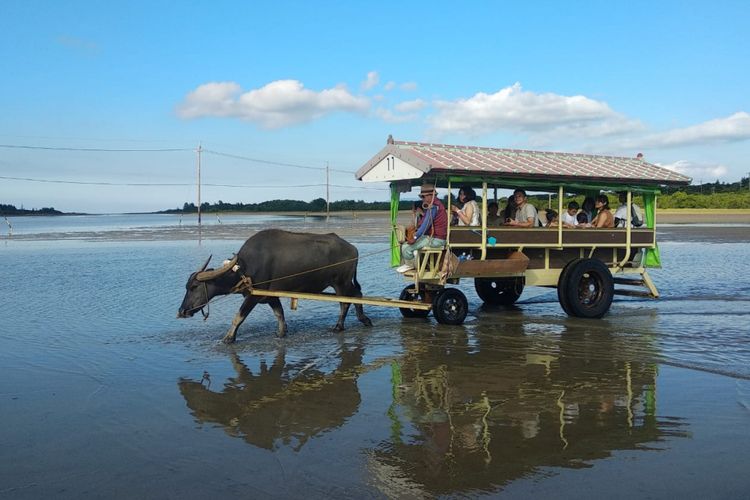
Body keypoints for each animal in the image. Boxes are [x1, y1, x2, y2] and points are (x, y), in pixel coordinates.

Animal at [177, 229, 376, 342]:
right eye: (186, 286)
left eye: (194, 287)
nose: (182, 311)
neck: (244, 269)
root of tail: (353, 248)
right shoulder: (271, 296)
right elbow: (279, 314)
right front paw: (281, 334)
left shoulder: (254, 296)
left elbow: (238, 317)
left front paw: (228, 338)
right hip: (343, 283)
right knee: (356, 295)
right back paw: (362, 320)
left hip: (341, 282)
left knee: (347, 300)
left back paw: (340, 326)